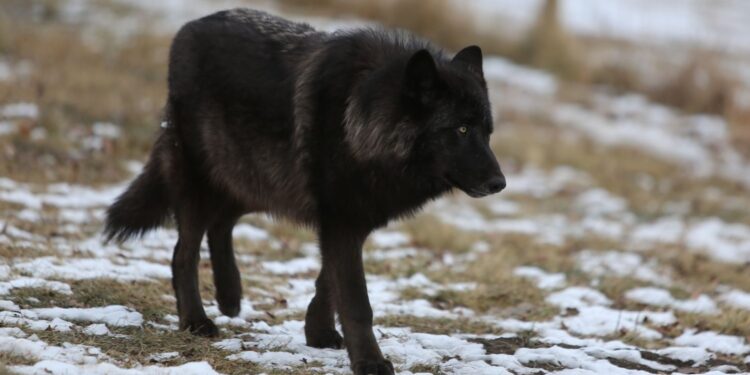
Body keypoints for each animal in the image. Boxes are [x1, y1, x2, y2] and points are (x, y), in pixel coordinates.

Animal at [104, 8, 506, 374]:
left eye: (487, 131)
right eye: (461, 129)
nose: (499, 184)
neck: (360, 119)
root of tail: (189, 27)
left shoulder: (349, 218)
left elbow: (328, 280)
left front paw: (318, 332)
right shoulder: (342, 219)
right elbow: (356, 301)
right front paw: (370, 363)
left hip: (254, 179)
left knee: (222, 224)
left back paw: (230, 296)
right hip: (205, 182)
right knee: (183, 253)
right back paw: (196, 321)